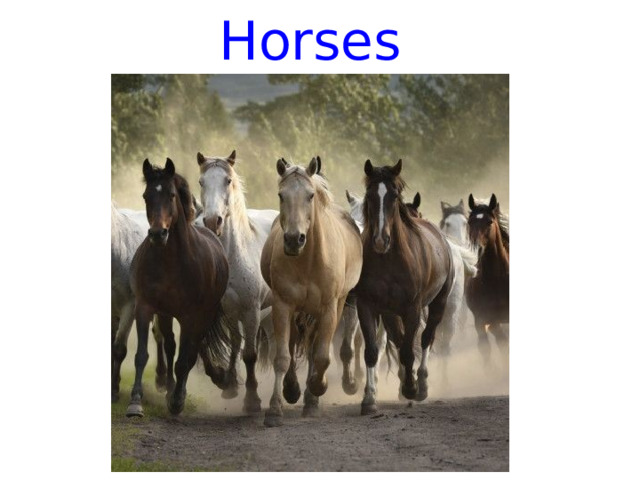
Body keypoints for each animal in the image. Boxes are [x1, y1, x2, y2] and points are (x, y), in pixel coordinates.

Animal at [126, 158, 236, 417]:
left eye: (172, 195)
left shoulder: (190, 316)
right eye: (146, 196)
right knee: (170, 344)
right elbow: (142, 355)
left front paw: (177, 400)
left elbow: (185, 359)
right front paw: (136, 402)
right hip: (167, 314)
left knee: (192, 350)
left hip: (203, 316)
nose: (158, 233)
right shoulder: (145, 307)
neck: (170, 263)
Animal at [196, 149, 278, 413]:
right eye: (201, 182)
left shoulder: (251, 312)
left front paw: (252, 399)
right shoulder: (229, 310)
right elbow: (235, 346)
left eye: (228, 181)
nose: (213, 221)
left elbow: (250, 354)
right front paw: (230, 385)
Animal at [260, 157, 363, 427]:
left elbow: (322, 356)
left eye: (310, 195)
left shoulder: (329, 309)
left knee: (316, 347)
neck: (307, 261)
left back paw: (311, 398)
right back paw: (295, 390)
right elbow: (282, 356)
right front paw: (276, 406)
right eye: (281, 195)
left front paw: (317, 388)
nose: (293, 239)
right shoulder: (283, 306)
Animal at [354, 158, 456, 415]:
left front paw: (411, 388)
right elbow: (373, 351)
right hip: (390, 314)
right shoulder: (368, 307)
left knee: (426, 338)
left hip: (439, 303)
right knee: (400, 342)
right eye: (370, 195)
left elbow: (410, 350)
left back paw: (421, 385)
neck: (389, 260)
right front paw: (369, 399)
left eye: (394, 195)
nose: (381, 241)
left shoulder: (412, 309)